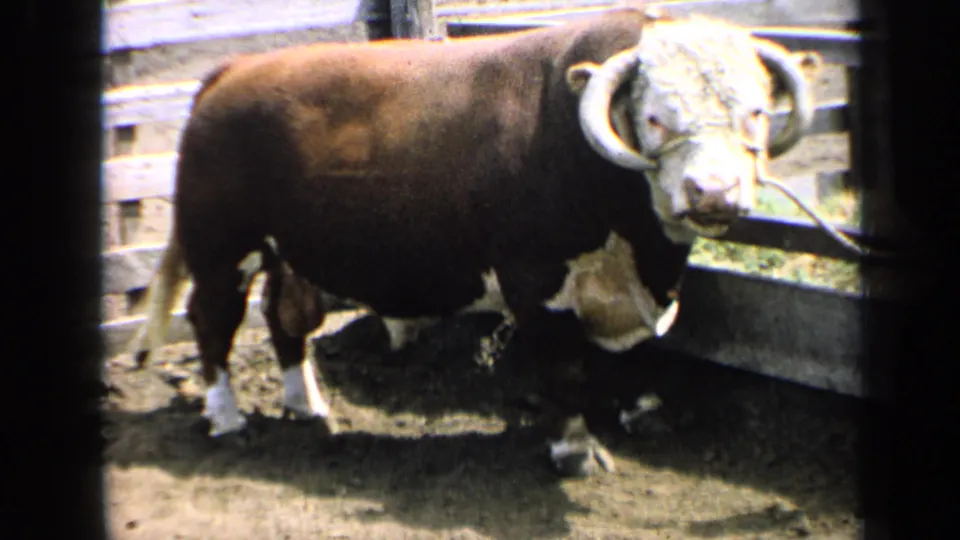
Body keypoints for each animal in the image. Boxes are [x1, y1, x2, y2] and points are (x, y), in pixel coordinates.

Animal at [131, 7, 821, 477]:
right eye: (656, 118)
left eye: (756, 112)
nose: (714, 192)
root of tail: (234, 70)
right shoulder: (535, 280)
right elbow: (565, 366)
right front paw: (575, 450)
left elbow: (631, 356)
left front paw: (640, 413)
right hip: (221, 247)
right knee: (213, 322)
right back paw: (227, 420)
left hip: (286, 252)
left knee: (284, 318)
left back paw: (308, 407)